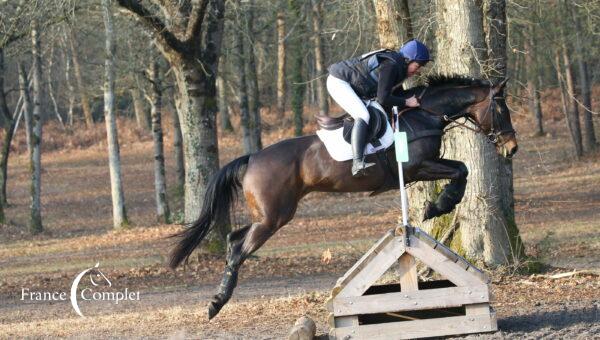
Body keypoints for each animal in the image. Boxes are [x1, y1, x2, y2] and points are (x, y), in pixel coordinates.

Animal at [168, 73, 516, 318]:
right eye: (501, 109)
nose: (512, 148)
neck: (425, 115)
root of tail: (252, 157)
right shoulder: (418, 167)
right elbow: (460, 170)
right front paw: (438, 205)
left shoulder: (422, 168)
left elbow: (461, 170)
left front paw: (438, 205)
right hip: (274, 217)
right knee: (239, 249)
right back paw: (216, 303)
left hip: (269, 215)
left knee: (234, 239)